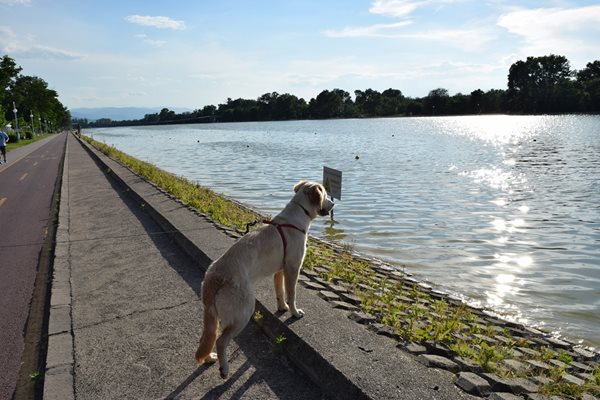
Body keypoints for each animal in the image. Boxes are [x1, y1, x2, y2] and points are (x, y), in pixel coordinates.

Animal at [196, 180, 332, 378]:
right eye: (326, 195)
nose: (333, 204)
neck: (297, 216)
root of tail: (213, 277)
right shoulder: (293, 269)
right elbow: (291, 294)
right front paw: (294, 312)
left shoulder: (279, 271)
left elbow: (280, 293)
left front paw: (282, 308)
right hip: (243, 312)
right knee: (221, 340)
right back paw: (224, 368)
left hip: (212, 317)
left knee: (207, 338)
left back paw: (209, 358)